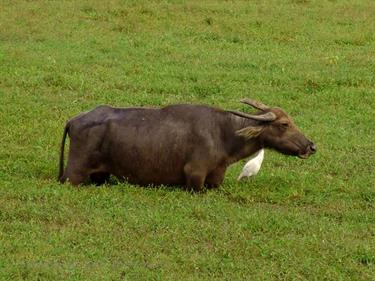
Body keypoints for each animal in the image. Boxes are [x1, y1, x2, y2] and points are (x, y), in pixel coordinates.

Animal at [58, 98, 318, 190]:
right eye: (284, 124)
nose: (311, 146)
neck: (223, 133)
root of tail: (74, 120)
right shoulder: (194, 177)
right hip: (73, 175)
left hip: (101, 175)